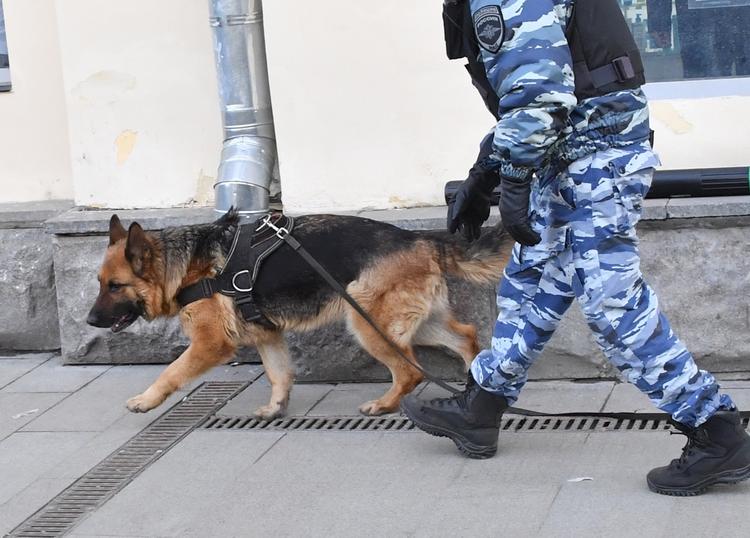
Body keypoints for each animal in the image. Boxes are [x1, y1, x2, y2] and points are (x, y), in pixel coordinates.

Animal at [86, 211, 512, 416]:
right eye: (99, 282)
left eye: (115, 286)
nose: (89, 321)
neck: (184, 264)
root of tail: (421, 238)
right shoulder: (268, 335)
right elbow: (279, 374)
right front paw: (276, 408)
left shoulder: (210, 344)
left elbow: (171, 372)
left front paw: (146, 400)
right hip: (415, 323)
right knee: (467, 336)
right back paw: (475, 385)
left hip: (367, 323)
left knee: (410, 371)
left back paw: (385, 405)